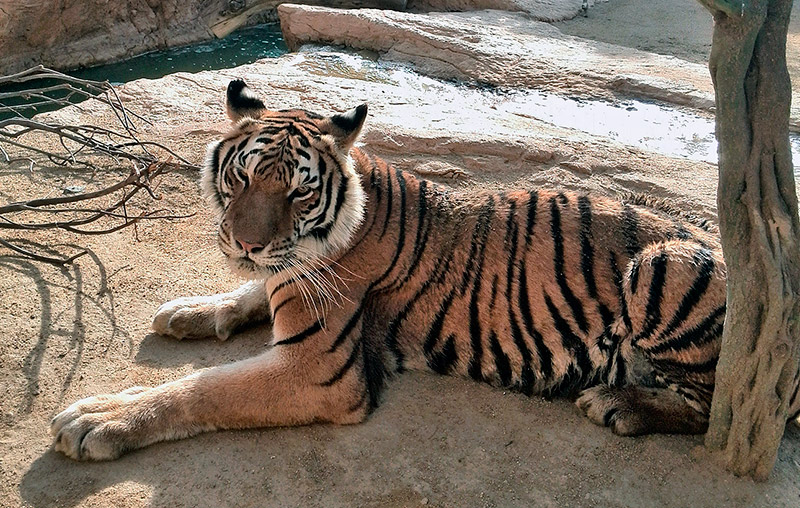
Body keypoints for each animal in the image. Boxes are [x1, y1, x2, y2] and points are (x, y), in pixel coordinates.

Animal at [50, 79, 727, 461]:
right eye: (241, 178)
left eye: (298, 192)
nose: (244, 242)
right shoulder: (278, 275)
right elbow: (247, 292)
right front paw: (188, 310)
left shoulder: (318, 370)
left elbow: (203, 389)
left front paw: (97, 419)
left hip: (662, 265)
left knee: (704, 407)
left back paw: (617, 404)